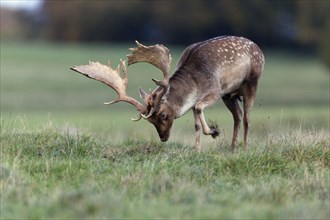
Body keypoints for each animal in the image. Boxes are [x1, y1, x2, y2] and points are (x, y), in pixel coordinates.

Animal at [71, 36, 266, 150]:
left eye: (163, 115)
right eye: (150, 121)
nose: (164, 138)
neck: (195, 83)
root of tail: (260, 50)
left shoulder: (215, 90)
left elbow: (199, 107)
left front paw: (214, 131)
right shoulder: (205, 98)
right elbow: (196, 122)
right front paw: (197, 149)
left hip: (251, 82)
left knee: (247, 118)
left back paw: (245, 148)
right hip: (230, 95)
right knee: (238, 116)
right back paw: (233, 148)